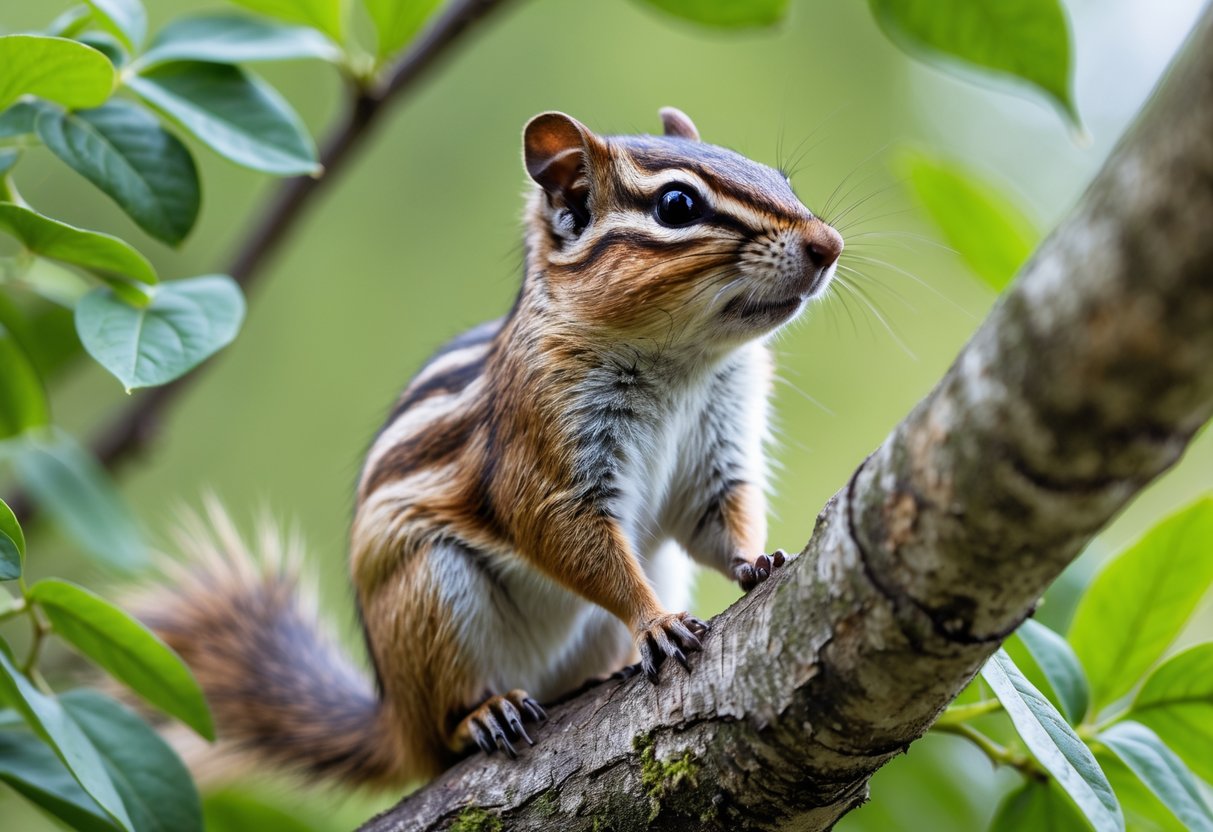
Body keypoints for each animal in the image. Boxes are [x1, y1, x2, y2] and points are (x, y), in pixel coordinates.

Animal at [136, 107, 843, 789]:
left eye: (780, 177)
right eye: (677, 205)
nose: (829, 244)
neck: (685, 366)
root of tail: (395, 722)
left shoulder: (720, 446)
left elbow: (717, 518)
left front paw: (760, 561)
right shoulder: (544, 447)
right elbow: (559, 532)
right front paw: (655, 622)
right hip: (432, 591)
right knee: (445, 731)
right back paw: (486, 713)